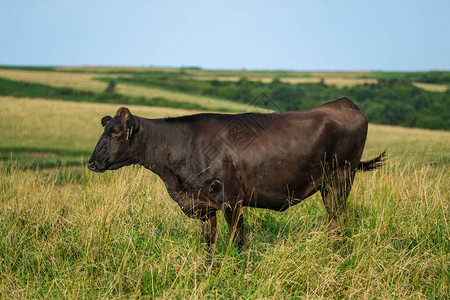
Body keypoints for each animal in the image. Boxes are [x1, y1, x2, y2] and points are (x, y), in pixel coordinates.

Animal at [89, 98, 386, 251]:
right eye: (104, 130)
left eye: (116, 132)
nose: (92, 163)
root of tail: (345, 104)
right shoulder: (204, 206)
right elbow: (209, 243)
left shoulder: (232, 200)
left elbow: (237, 240)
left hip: (340, 178)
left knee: (339, 219)